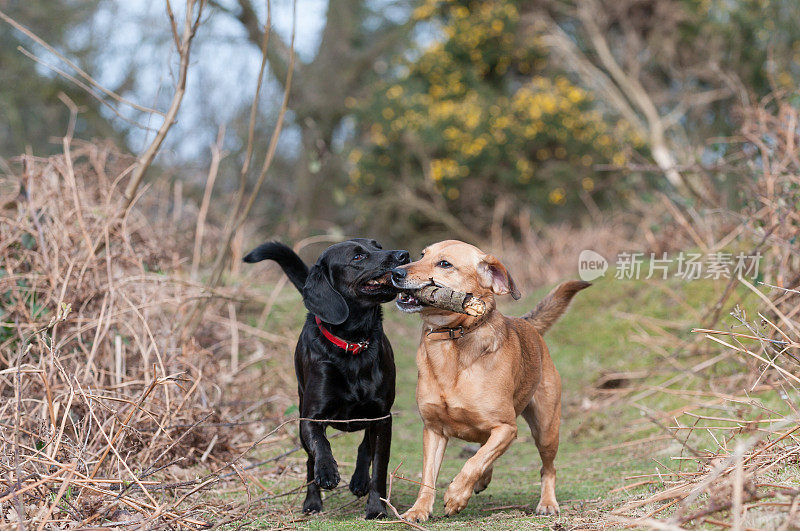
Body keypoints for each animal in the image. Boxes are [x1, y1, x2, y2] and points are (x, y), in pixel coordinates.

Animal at [242, 239, 406, 516]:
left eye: (379, 246)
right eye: (358, 257)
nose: (404, 254)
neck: (352, 344)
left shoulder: (382, 417)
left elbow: (378, 466)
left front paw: (376, 507)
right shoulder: (310, 417)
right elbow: (320, 444)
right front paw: (327, 471)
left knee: (365, 446)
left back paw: (359, 480)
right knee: (310, 460)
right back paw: (312, 502)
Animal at [390, 242, 592, 524]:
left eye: (444, 264)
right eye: (421, 256)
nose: (395, 272)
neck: (451, 340)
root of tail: (527, 324)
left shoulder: (506, 428)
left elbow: (473, 463)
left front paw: (456, 496)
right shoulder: (433, 430)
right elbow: (429, 476)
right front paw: (419, 510)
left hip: (546, 430)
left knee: (547, 468)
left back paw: (547, 503)